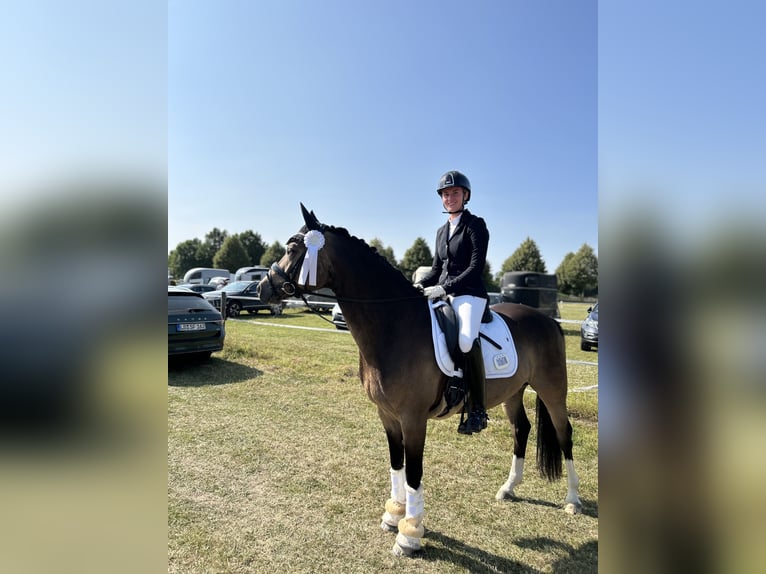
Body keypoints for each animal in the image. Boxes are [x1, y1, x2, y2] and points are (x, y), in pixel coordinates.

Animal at [256, 204, 582, 557]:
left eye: (292, 248)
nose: (261, 289)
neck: (394, 326)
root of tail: (548, 320)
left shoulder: (413, 418)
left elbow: (413, 473)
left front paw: (409, 534)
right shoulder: (387, 414)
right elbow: (396, 465)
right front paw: (393, 515)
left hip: (553, 390)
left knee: (564, 434)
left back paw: (572, 500)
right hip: (513, 391)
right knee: (521, 429)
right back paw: (508, 488)